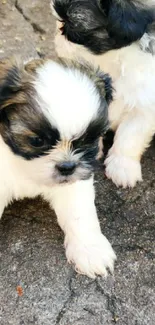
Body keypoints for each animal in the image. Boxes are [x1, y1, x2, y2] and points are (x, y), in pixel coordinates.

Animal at [0, 57, 116, 278]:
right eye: (37, 141)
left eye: (87, 140)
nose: (67, 166)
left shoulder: (75, 182)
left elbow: (79, 213)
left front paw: (90, 250)